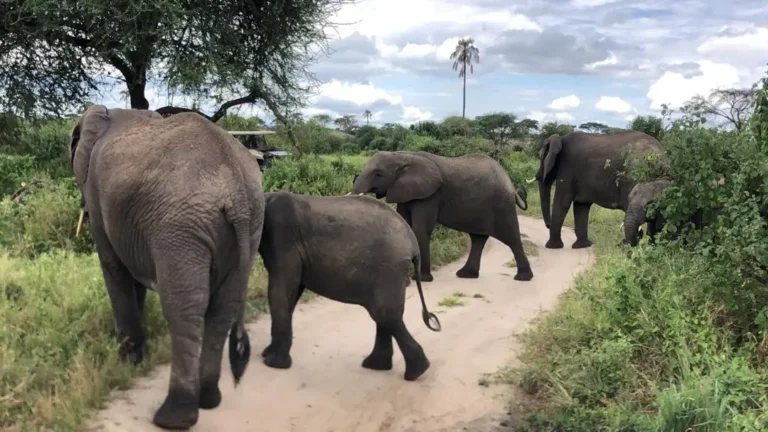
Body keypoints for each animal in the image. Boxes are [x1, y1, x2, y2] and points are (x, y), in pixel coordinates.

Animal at [69, 105, 265, 430]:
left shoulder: (98, 196)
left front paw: (129, 361)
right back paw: (209, 399)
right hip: (250, 226)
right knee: (223, 308)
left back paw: (173, 417)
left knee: (183, 309)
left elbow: (114, 267)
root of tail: (235, 188)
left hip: (180, 228)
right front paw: (137, 356)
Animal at [258, 191, 441, 381]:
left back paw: (415, 372)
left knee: (385, 315)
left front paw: (272, 363)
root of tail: (413, 245)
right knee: (384, 316)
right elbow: (292, 292)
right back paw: (379, 366)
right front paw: (267, 354)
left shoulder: (282, 235)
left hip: (389, 268)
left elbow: (281, 289)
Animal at [350, 151, 532, 283]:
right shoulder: (406, 191)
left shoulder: (431, 195)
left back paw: (523, 278)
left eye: (378, 174)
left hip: (501, 204)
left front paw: (421, 279)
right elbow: (406, 224)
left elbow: (420, 229)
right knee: (478, 239)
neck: (403, 156)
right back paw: (466, 275)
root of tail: (510, 183)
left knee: (511, 238)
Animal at [533, 130, 666, 249]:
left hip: (633, 174)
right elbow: (581, 205)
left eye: (541, 158)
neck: (561, 138)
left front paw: (553, 247)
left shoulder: (568, 167)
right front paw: (583, 246)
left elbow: (563, 202)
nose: (548, 225)